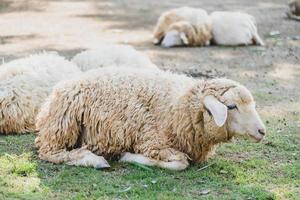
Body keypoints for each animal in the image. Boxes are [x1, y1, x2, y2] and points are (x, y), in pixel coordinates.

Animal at [34, 67, 266, 170]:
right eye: (231, 106)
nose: (262, 131)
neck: (178, 106)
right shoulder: (152, 142)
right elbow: (180, 163)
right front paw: (127, 156)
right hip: (63, 126)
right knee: (50, 153)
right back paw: (94, 160)